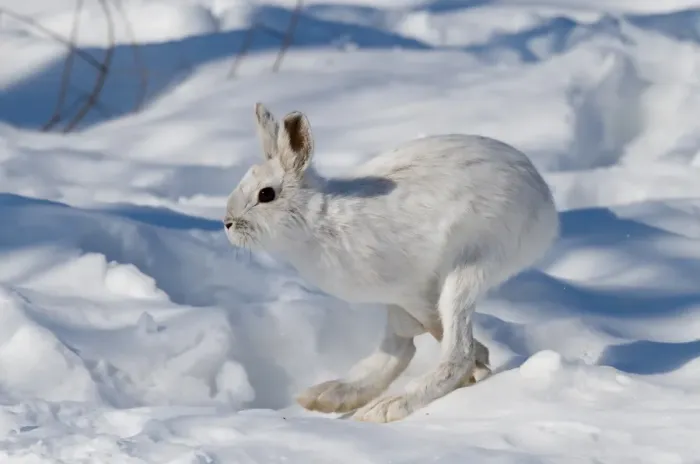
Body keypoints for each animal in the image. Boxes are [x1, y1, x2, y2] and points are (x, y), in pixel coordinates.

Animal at [223, 102, 559, 423]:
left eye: (266, 194)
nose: (227, 223)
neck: (317, 218)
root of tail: (545, 203)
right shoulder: (399, 297)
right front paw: (482, 363)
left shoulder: (413, 290)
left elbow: (437, 331)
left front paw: (480, 364)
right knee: (400, 348)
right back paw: (331, 395)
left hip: (469, 267)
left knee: (453, 351)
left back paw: (390, 406)